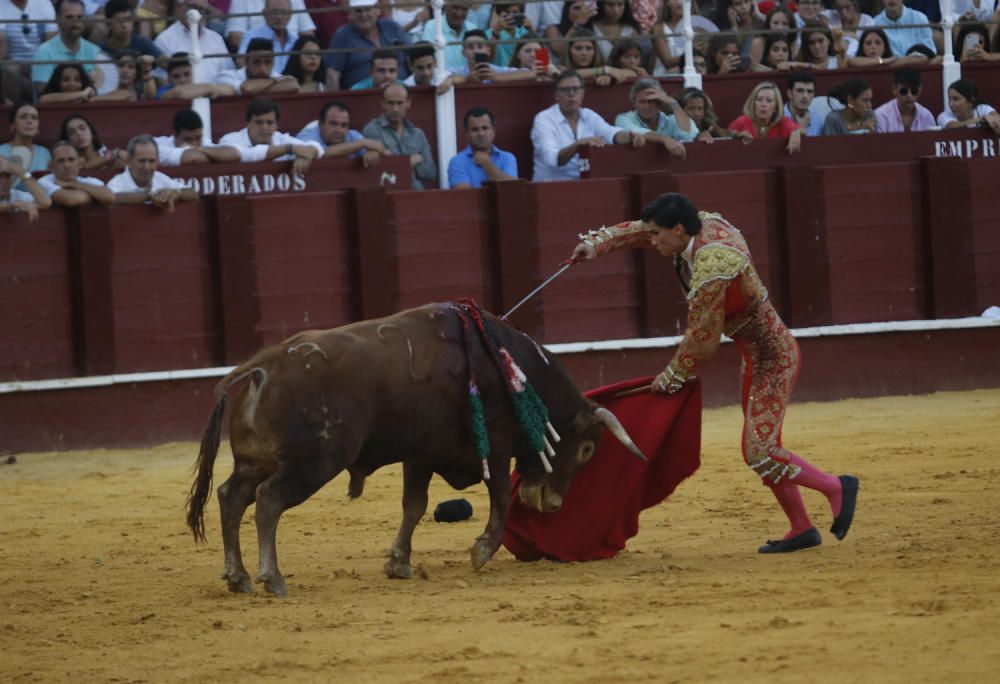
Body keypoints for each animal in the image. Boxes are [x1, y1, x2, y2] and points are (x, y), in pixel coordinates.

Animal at [186, 302, 640, 596]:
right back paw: (272, 579)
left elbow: (414, 506)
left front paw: (398, 562)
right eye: (586, 449)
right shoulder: (494, 445)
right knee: (268, 502)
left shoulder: (420, 455)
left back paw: (239, 578)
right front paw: (481, 550)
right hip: (313, 463)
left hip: (255, 461)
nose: (552, 504)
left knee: (231, 497)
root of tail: (263, 365)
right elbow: (498, 497)